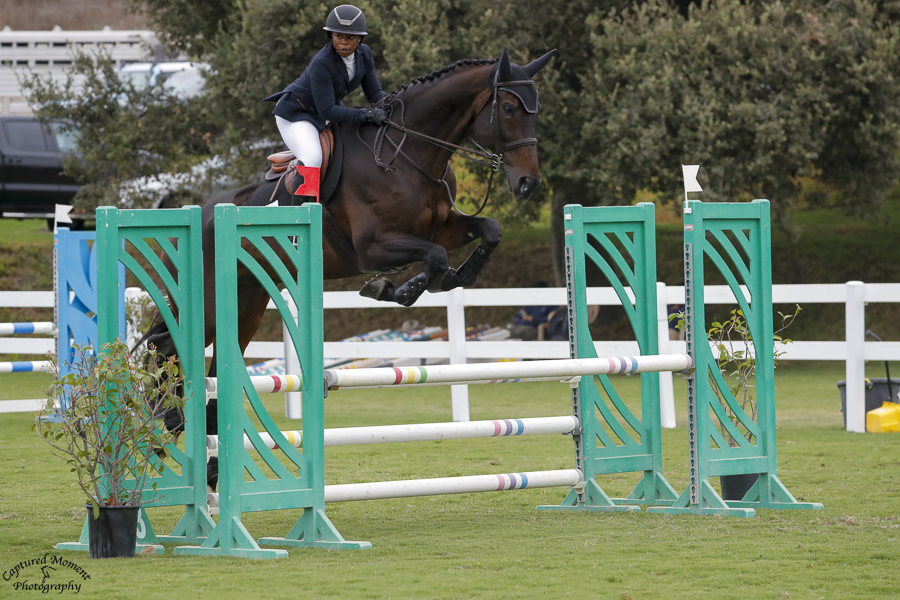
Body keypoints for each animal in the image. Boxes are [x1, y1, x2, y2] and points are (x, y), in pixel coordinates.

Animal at [145, 48, 556, 488]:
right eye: (509, 108)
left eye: (535, 110)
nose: (529, 182)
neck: (408, 154)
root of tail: (190, 219)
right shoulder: (373, 247)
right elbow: (434, 257)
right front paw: (399, 289)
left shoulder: (444, 227)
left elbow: (488, 231)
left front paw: (458, 278)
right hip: (205, 309)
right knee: (163, 349)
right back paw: (162, 428)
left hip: (246, 306)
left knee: (211, 367)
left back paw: (203, 464)